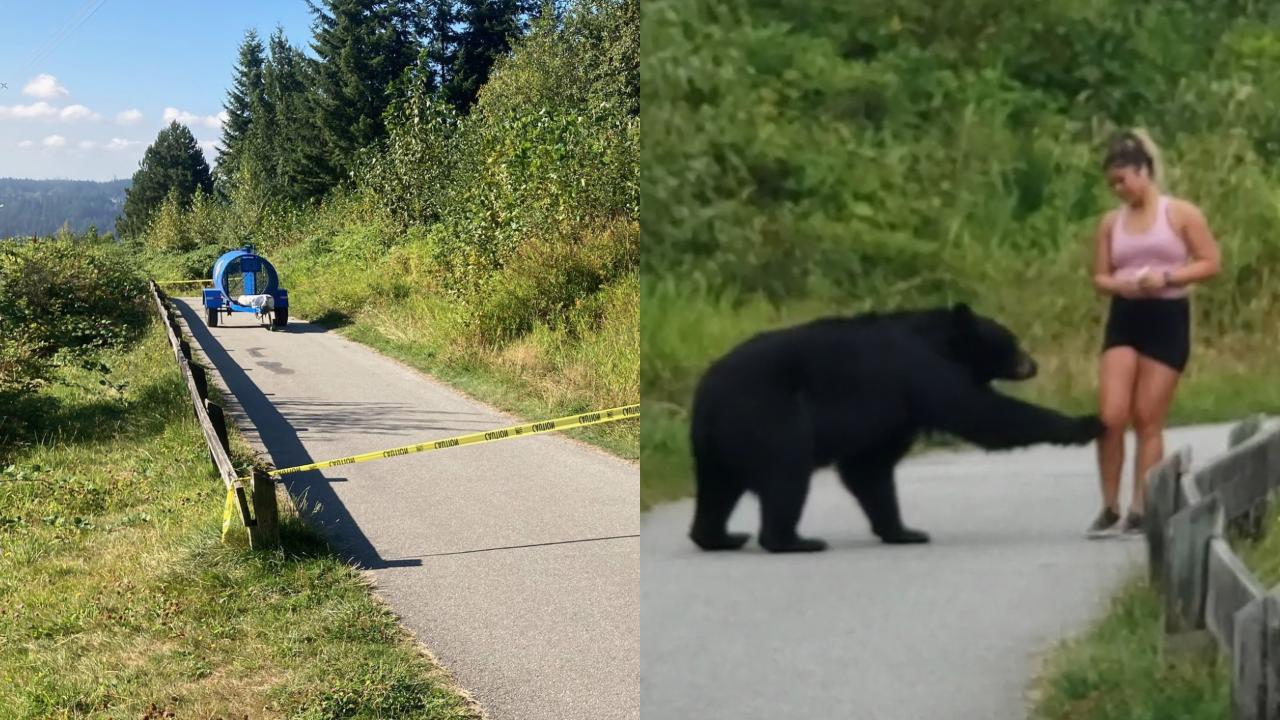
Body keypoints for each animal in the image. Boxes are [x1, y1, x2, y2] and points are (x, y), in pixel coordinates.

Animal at [691, 301, 1100, 548]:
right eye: (1012, 341)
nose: (1033, 364)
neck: (940, 342)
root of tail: (707, 394)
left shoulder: (895, 409)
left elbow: (869, 469)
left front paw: (904, 531)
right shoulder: (920, 373)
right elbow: (982, 415)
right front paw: (1087, 423)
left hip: (717, 443)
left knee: (717, 489)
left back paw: (720, 537)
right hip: (769, 417)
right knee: (786, 471)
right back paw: (793, 541)